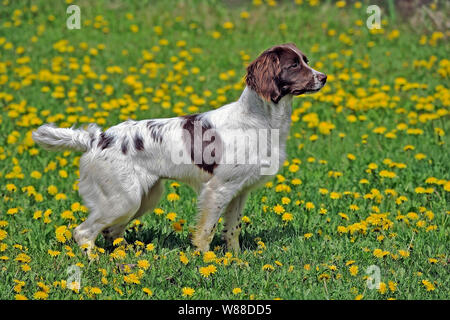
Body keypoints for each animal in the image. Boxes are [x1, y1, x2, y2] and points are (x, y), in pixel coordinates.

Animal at [32, 43, 326, 252]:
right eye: (293, 65)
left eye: (306, 61)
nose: (323, 77)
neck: (259, 120)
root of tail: (97, 138)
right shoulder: (218, 189)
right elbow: (207, 231)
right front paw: (206, 260)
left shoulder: (239, 191)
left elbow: (232, 231)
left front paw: (236, 260)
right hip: (123, 199)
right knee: (84, 233)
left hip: (144, 197)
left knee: (111, 232)